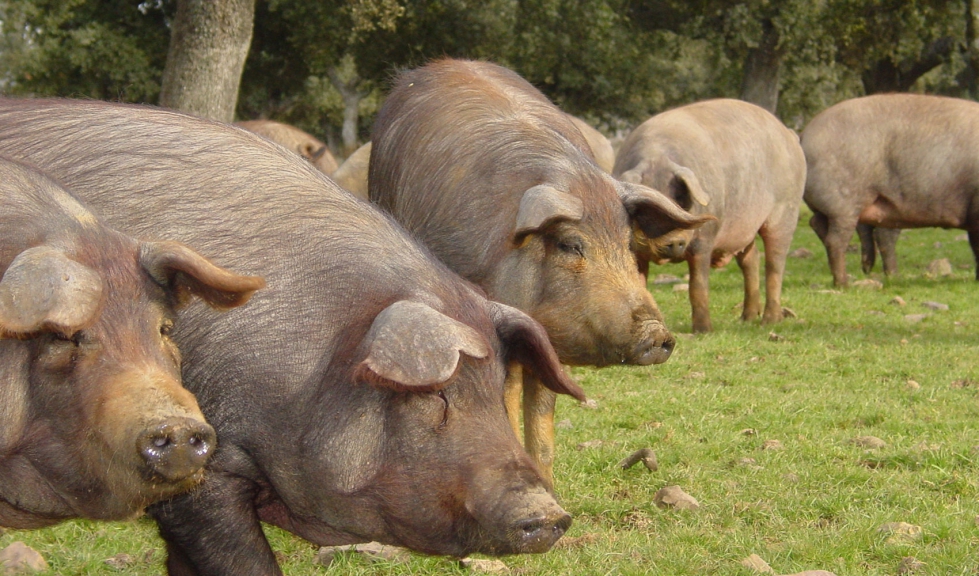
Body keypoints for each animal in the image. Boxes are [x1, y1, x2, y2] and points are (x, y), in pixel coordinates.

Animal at [616, 99, 808, 332]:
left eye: (681, 199)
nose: (674, 241)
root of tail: (789, 134)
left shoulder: (705, 238)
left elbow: (698, 286)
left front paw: (703, 330)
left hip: (786, 209)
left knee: (775, 264)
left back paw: (769, 321)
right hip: (745, 227)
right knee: (751, 259)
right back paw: (746, 319)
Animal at [800, 93, 979, 286]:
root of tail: (803, 136)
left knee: (820, 225)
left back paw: (888, 276)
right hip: (843, 203)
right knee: (836, 241)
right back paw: (845, 284)